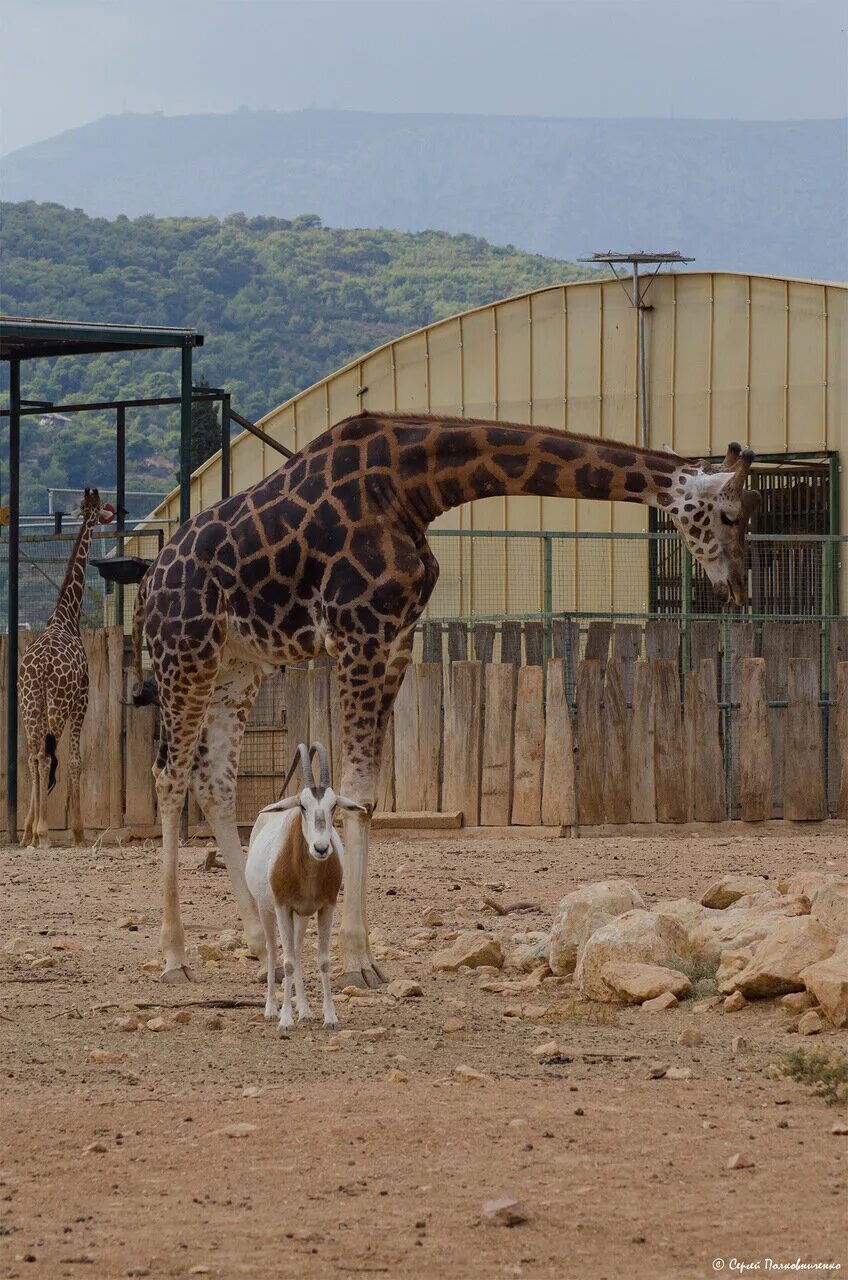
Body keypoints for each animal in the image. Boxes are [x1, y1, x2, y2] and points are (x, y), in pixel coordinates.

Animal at [20, 483, 116, 844]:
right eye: (101, 507)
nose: (115, 512)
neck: (65, 616)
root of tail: (39, 669)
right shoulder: (82, 700)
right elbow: (75, 761)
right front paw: (77, 831)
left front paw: (30, 831)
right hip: (56, 705)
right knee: (47, 757)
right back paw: (45, 832)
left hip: (30, 704)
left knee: (34, 756)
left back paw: (31, 833)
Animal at [134, 414, 763, 983]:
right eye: (732, 515)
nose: (738, 587)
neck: (413, 488)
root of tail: (146, 583)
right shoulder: (361, 635)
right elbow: (350, 787)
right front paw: (357, 961)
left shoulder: (395, 642)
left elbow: (367, 794)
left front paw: (366, 957)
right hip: (184, 651)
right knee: (168, 774)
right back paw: (173, 958)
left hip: (237, 664)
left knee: (214, 780)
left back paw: (259, 945)